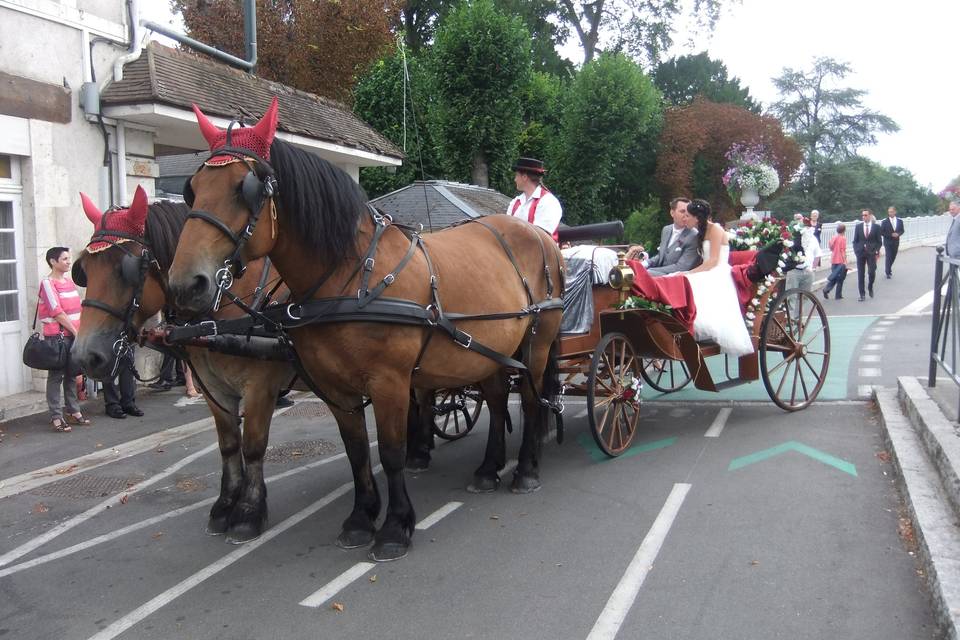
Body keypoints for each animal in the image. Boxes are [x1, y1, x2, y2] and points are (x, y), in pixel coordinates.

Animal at [71, 186, 294, 544]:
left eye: (126, 269)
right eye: (83, 271)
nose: (84, 356)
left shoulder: (261, 388)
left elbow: (254, 447)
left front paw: (248, 512)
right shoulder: (211, 386)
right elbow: (229, 445)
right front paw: (225, 506)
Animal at [169, 100, 568, 560]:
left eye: (245, 188)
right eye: (192, 189)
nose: (185, 285)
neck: (352, 275)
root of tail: (540, 236)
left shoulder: (388, 382)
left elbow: (391, 452)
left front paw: (395, 526)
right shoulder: (334, 387)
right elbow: (357, 451)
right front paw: (361, 519)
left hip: (536, 344)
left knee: (533, 401)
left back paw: (525, 470)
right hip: (485, 353)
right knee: (500, 400)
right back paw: (488, 469)